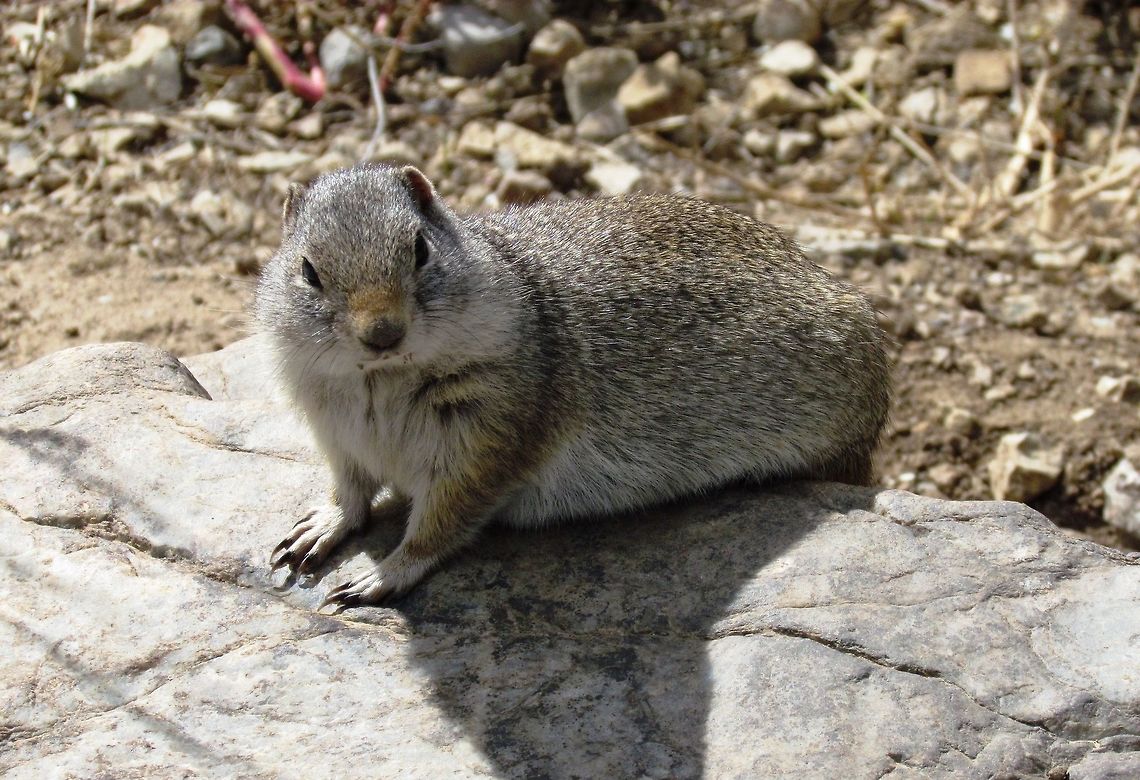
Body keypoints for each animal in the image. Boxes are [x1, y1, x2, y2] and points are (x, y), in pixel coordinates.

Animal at [256, 164, 891, 611]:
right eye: (308, 271)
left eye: (420, 249)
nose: (383, 333)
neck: (380, 381)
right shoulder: (338, 438)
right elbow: (350, 492)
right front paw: (316, 529)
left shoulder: (486, 443)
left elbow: (440, 523)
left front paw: (378, 576)